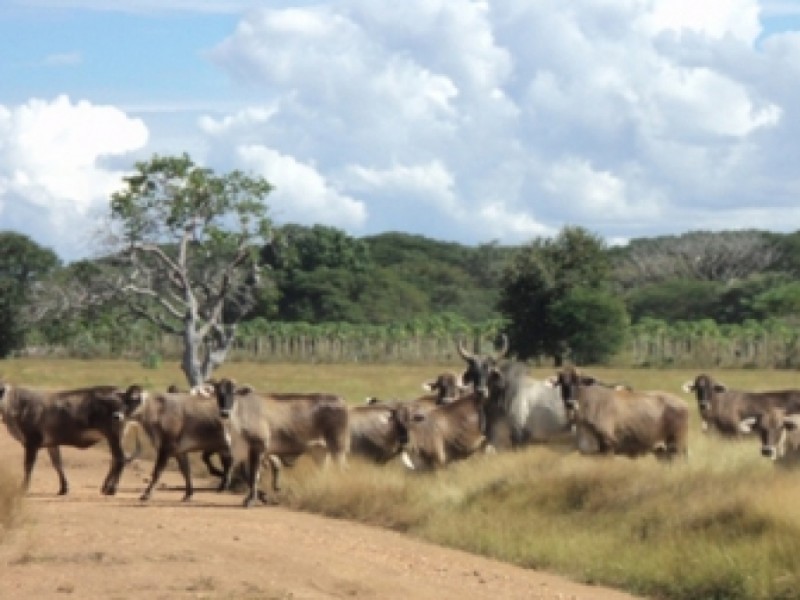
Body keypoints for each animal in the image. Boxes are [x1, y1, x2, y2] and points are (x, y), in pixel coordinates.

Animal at [0, 382, 142, 494]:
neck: (18, 405)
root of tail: (124, 394)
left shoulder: (31, 443)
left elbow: (28, 466)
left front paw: (23, 488)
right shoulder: (52, 444)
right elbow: (57, 464)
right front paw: (64, 488)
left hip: (113, 435)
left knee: (120, 459)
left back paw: (112, 489)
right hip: (116, 437)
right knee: (115, 459)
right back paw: (105, 486)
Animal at [211, 380, 348, 506]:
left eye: (234, 392)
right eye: (218, 392)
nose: (224, 413)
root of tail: (340, 400)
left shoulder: (257, 448)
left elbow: (254, 475)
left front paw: (251, 500)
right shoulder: (244, 452)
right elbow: (247, 475)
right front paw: (261, 497)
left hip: (338, 448)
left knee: (341, 471)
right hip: (320, 451)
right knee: (324, 472)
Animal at [552, 366, 688, 460]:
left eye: (578, 381)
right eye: (562, 383)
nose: (570, 403)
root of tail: (683, 403)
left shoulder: (608, 445)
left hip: (675, 445)